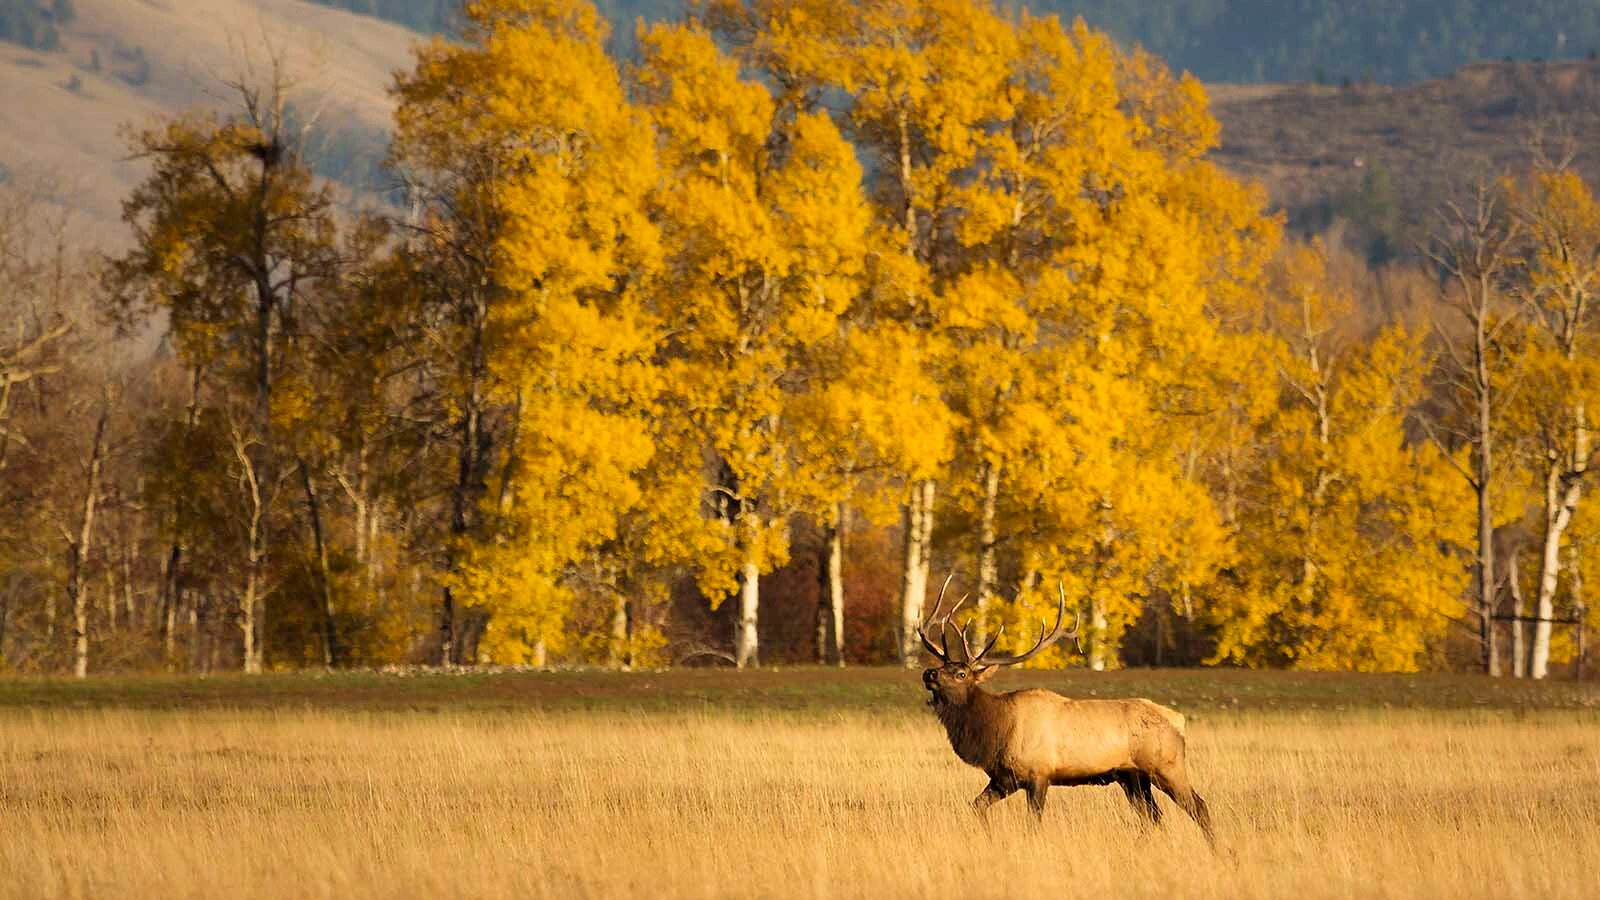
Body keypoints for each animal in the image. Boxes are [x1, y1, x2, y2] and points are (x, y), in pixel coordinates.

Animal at [919, 577, 1215, 845]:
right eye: (942, 666)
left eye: (961, 674)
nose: (929, 673)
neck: (996, 730)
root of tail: (1178, 721)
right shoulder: (1003, 779)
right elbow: (976, 807)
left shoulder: (1039, 773)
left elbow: (1033, 825)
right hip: (1132, 777)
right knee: (1154, 817)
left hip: (1166, 766)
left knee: (1198, 806)